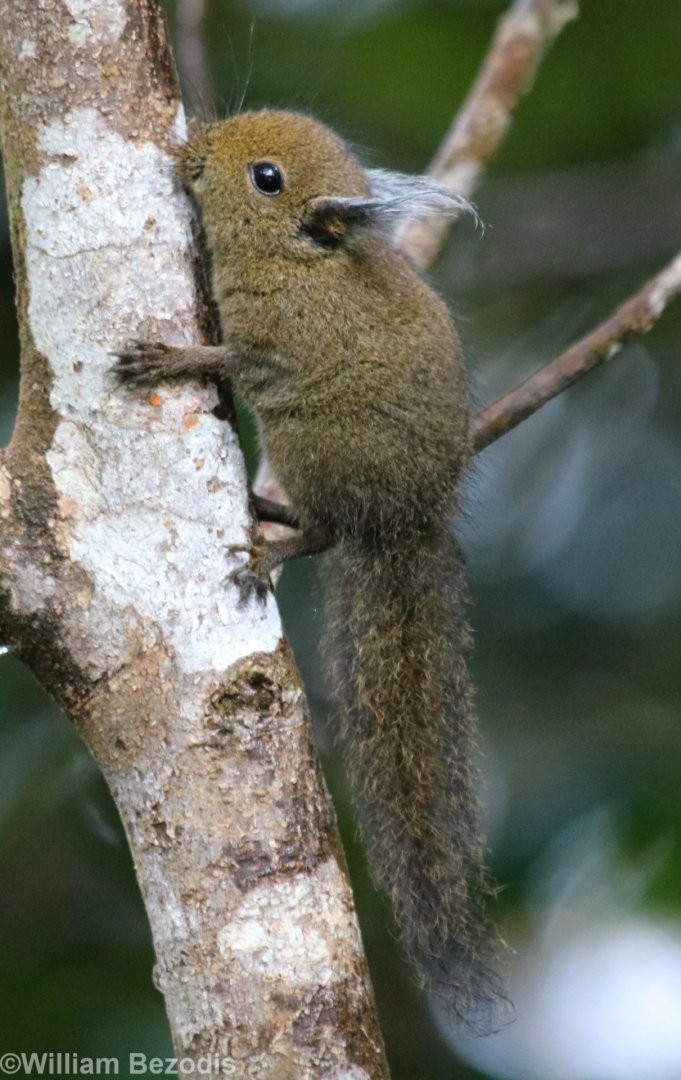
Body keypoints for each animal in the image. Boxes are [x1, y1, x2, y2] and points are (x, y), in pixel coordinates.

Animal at [113, 109, 508, 1033]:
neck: (294, 260)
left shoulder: (279, 349)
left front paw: (171, 361)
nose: (193, 152)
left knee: (328, 533)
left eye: (266, 178)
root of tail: (409, 522)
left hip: (311, 442)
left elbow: (228, 361)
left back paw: (275, 542)